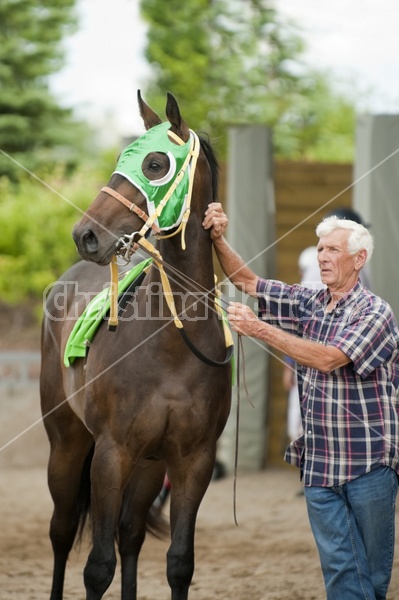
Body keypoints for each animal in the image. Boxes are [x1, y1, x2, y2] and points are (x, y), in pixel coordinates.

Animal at [39, 90, 233, 600]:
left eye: (155, 164)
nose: (85, 235)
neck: (173, 345)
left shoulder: (191, 460)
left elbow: (179, 563)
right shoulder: (112, 453)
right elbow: (97, 567)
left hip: (148, 465)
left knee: (129, 534)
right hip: (66, 443)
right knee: (61, 531)